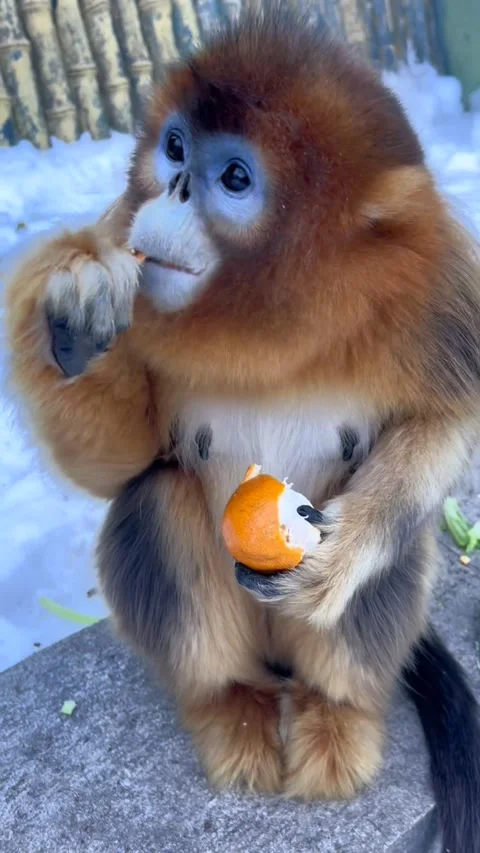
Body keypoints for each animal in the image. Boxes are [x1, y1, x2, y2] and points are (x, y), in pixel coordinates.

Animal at [5, 4, 480, 850]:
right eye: (174, 148)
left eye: (233, 178)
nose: (172, 187)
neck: (268, 321)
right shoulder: (125, 248)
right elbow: (121, 464)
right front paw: (73, 310)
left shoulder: (435, 284)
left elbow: (450, 414)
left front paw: (344, 552)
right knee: (156, 498)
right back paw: (233, 705)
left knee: (402, 545)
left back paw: (336, 713)